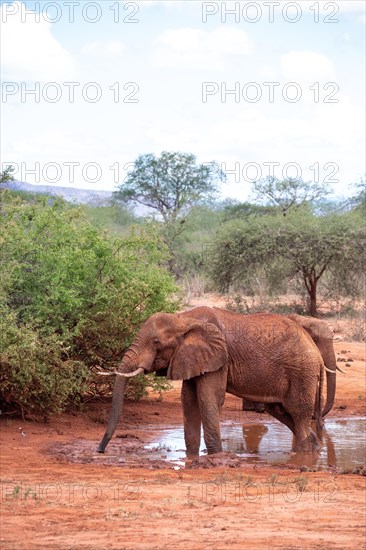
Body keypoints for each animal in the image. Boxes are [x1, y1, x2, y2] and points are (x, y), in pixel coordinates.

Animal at [96, 310, 324, 458]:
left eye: (156, 343)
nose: (100, 450)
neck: (184, 319)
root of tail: (318, 354)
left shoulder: (218, 359)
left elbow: (209, 398)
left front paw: (215, 457)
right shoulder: (191, 358)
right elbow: (189, 401)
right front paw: (191, 456)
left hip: (302, 372)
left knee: (298, 413)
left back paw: (302, 455)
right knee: (279, 410)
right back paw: (314, 447)